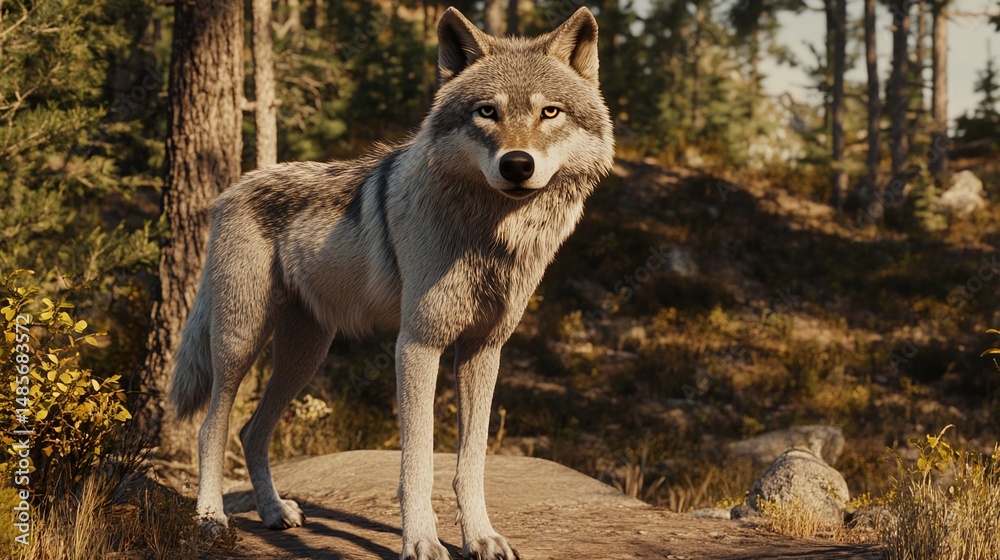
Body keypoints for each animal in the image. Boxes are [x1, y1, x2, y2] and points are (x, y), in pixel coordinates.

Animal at [169, 6, 614, 559]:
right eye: (486, 112)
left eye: (550, 112)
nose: (516, 164)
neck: (491, 238)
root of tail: (232, 189)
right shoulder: (417, 344)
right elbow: (417, 462)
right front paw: (421, 540)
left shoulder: (484, 349)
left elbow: (471, 463)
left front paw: (481, 537)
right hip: (240, 341)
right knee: (212, 429)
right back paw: (211, 519)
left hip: (304, 355)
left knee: (253, 431)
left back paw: (274, 512)